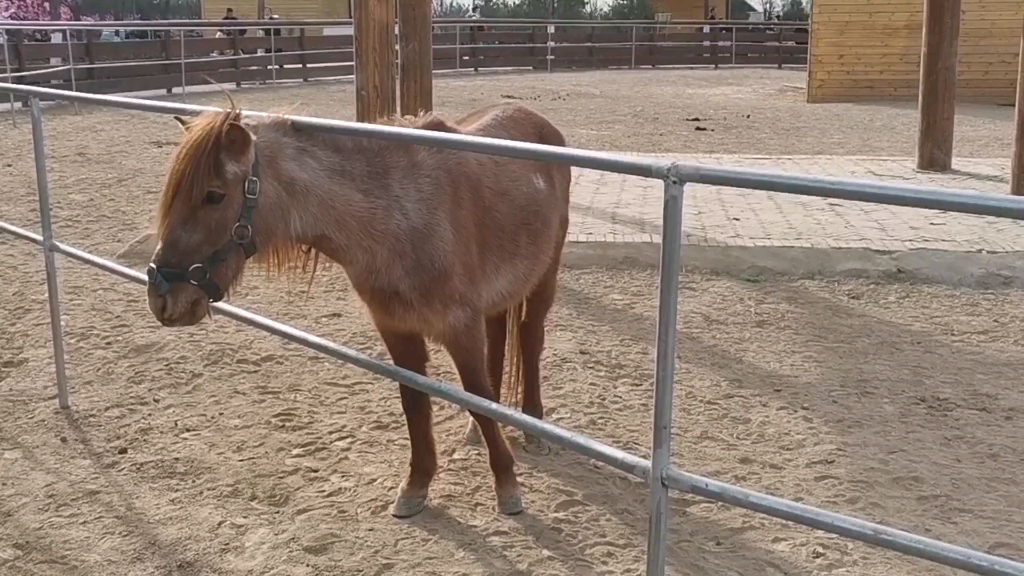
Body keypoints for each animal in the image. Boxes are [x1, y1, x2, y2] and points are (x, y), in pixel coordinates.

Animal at [147, 100, 573, 518]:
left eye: (213, 195)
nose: (162, 296)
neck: (400, 217)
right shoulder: (396, 328)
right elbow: (415, 402)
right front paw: (416, 485)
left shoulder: (460, 327)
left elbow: (476, 395)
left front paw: (507, 485)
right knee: (500, 338)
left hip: (544, 278)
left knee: (529, 339)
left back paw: (533, 426)